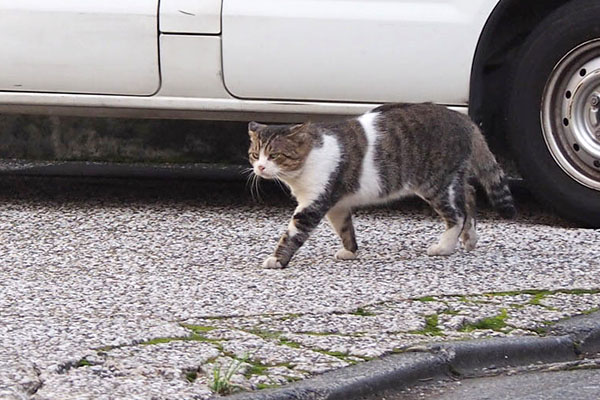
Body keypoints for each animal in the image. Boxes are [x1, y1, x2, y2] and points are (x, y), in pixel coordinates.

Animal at [248, 104, 516, 268]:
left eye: (274, 156)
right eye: (254, 154)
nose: (260, 167)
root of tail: (463, 118)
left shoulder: (313, 203)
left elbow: (292, 233)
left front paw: (276, 260)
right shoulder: (336, 204)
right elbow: (344, 228)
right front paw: (350, 251)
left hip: (436, 183)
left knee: (458, 214)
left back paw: (444, 246)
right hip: (452, 179)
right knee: (469, 194)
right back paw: (470, 237)